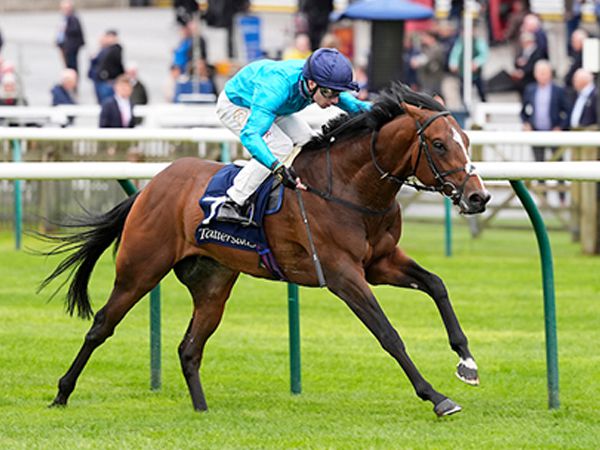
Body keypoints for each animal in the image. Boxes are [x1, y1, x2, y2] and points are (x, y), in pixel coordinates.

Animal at [43, 83, 492, 414]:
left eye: (467, 140)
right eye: (438, 144)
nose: (478, 197)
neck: (350, 190)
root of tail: (151, 185)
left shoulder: (380, 262)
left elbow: (436, 285)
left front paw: (467, 363)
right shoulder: (343, 275)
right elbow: (388, 333)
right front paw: (436, 397)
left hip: (213, 283)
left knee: (189, 348)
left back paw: (202, 410)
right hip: (140, 268)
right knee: (102, 325)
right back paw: (62, 393)